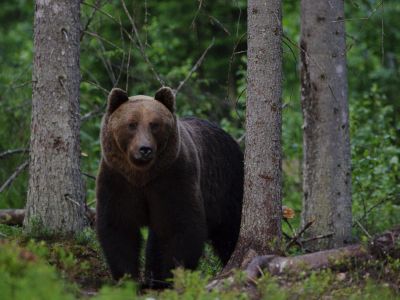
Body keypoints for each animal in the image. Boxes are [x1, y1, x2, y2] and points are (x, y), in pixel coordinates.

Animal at [95, 86, 242, 288]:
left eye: (154, 124)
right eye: (132, 124)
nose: (145, 149)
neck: (142, 176)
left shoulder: (173, 178)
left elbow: (180, 226)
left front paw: (171, 277)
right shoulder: (118, 180)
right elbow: (119, 226)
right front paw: (127, 278)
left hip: (227, 185)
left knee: (230, 231)